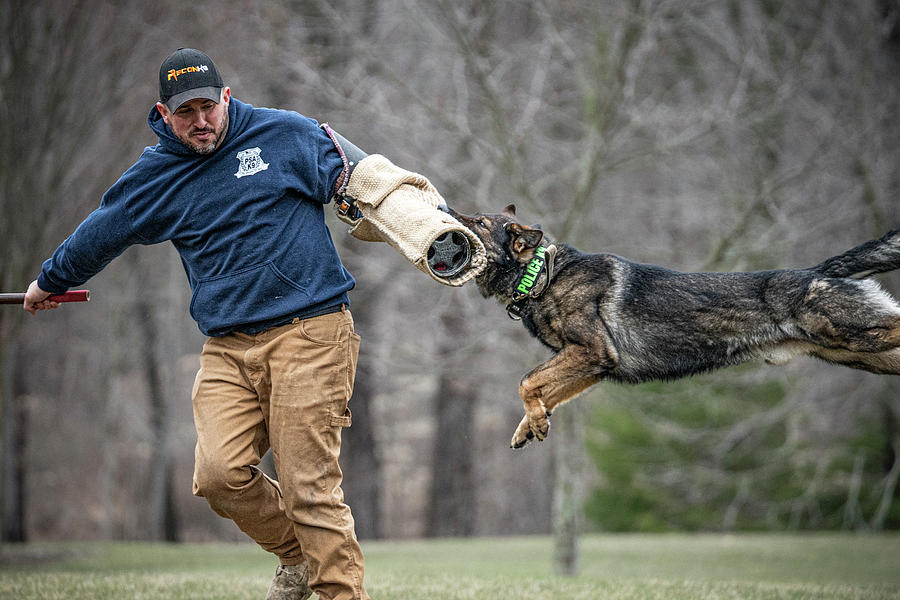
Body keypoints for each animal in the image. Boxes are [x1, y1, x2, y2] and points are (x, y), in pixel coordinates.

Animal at [444, 205, 900, 446]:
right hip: (866, 355)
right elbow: (546, 391)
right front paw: (532, 424)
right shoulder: (593, 366)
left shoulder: (591, 352)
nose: (445, 209)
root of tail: (819, 271)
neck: (542, 274)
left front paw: (535, 421)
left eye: (480, 222)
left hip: (854, 332)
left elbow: (527, 381)